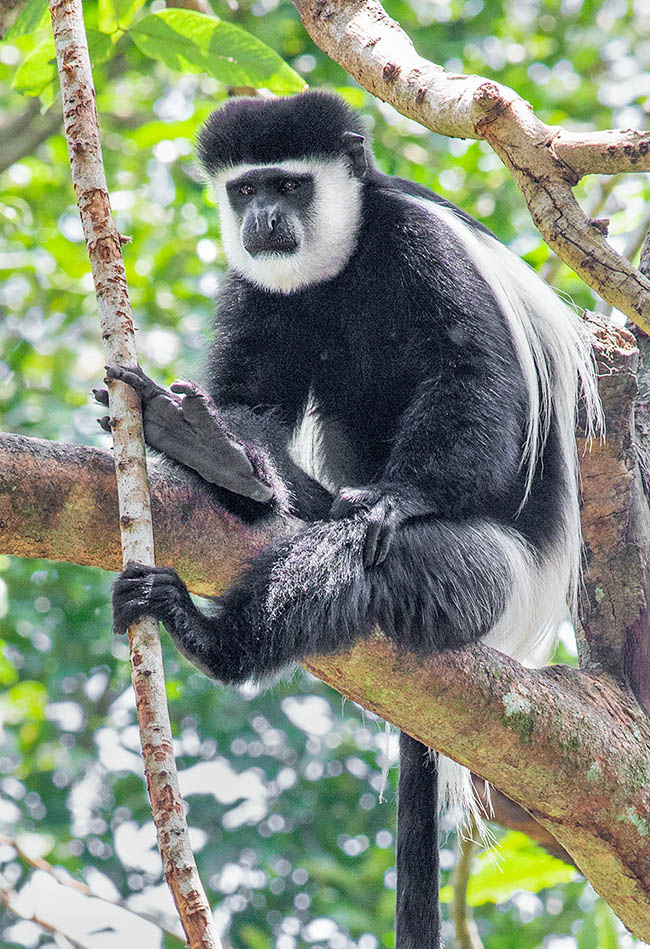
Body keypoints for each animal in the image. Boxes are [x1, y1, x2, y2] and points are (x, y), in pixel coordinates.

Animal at [100, 90, 596, 948]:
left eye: (290, 186)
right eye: (245, 189)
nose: (264, 217)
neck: (343, 263)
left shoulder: (424, 247)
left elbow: (472, 371)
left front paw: (397, 498)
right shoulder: (256, 286)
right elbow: (252, 396)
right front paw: (215, 444)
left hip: (492, 577)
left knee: (365, 560)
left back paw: (213, 637)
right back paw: (216, 461)